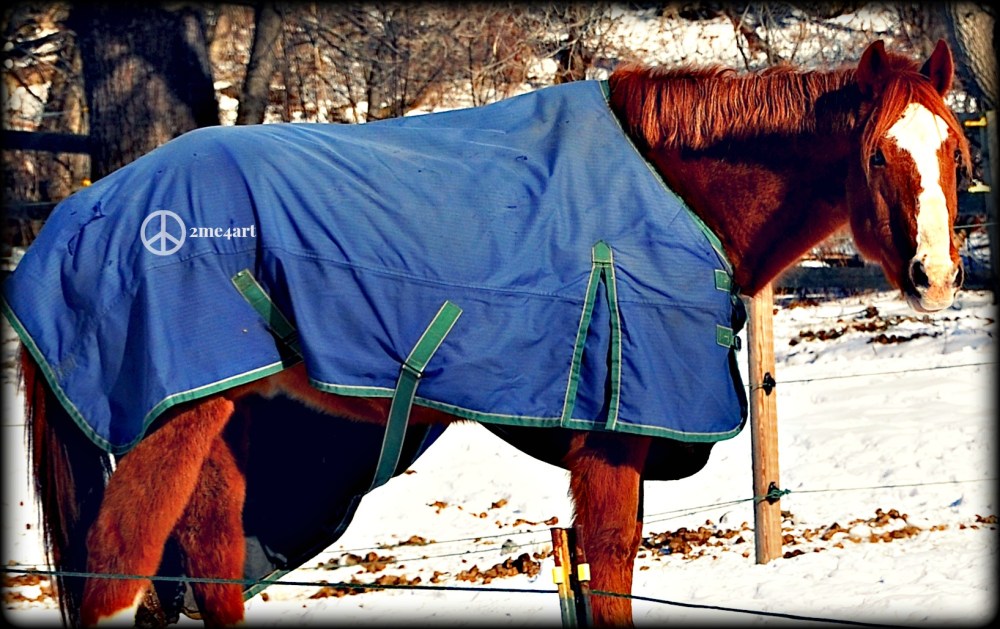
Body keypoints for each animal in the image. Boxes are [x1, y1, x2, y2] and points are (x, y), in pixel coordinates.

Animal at [7, 39, 970, 627]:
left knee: (208, 569)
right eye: (877, 155)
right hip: (170, 423)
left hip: (222, 414)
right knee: (118, 574)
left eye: (955, 151)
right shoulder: (611, 442)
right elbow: (609, 572)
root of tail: (85, 211)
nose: (934, 276)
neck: (675, 193)